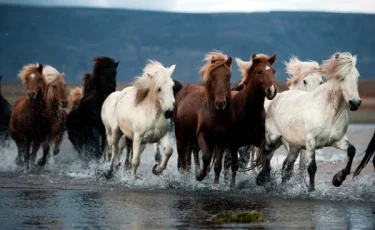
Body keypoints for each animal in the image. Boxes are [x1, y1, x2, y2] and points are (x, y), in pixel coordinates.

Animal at [174, 51, 235, 186]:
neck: (216, 114)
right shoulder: (202, 135)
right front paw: (199, 176)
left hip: (190, 140)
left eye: (228, 77)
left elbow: (217, 165)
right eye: (213, 77)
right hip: (181, 137)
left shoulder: (222, 140)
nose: (220, 103)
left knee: (187, 160)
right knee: (181, 161)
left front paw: (215, 185)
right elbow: (206, 157)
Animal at [256, 52, 362, 192]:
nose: (355, 103)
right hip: (273, 137)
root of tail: (275, 98)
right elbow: (312, 168)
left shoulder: (338, 140)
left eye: (357, 77)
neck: (328, 111)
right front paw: (311, 190)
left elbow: (352, 151)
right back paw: (261, 179)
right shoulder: (311, 142)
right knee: (267, 155)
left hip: (294, 146)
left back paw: (282, 187)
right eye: (342, 77)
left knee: (286, 165)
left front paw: (337, 179)